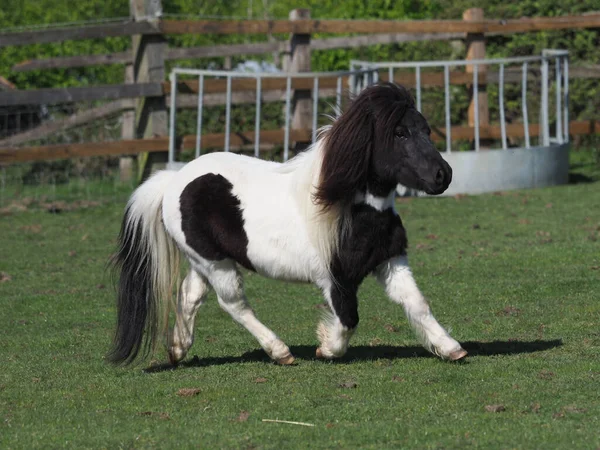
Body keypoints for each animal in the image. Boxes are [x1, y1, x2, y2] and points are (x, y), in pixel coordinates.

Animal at [111, 82, 468, 368]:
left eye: (426, 130)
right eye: (399, 132)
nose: (443, 175)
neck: (353, 210)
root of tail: (174, 181)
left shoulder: (390, 261)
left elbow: (417, 303)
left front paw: (451, 348)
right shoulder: (335, 279)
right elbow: (348, 318)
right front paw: (326, 348)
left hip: (205, 260)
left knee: (190, 295)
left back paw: (178, 350)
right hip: (216, 263)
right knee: (233, 304)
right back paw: (280, 352)